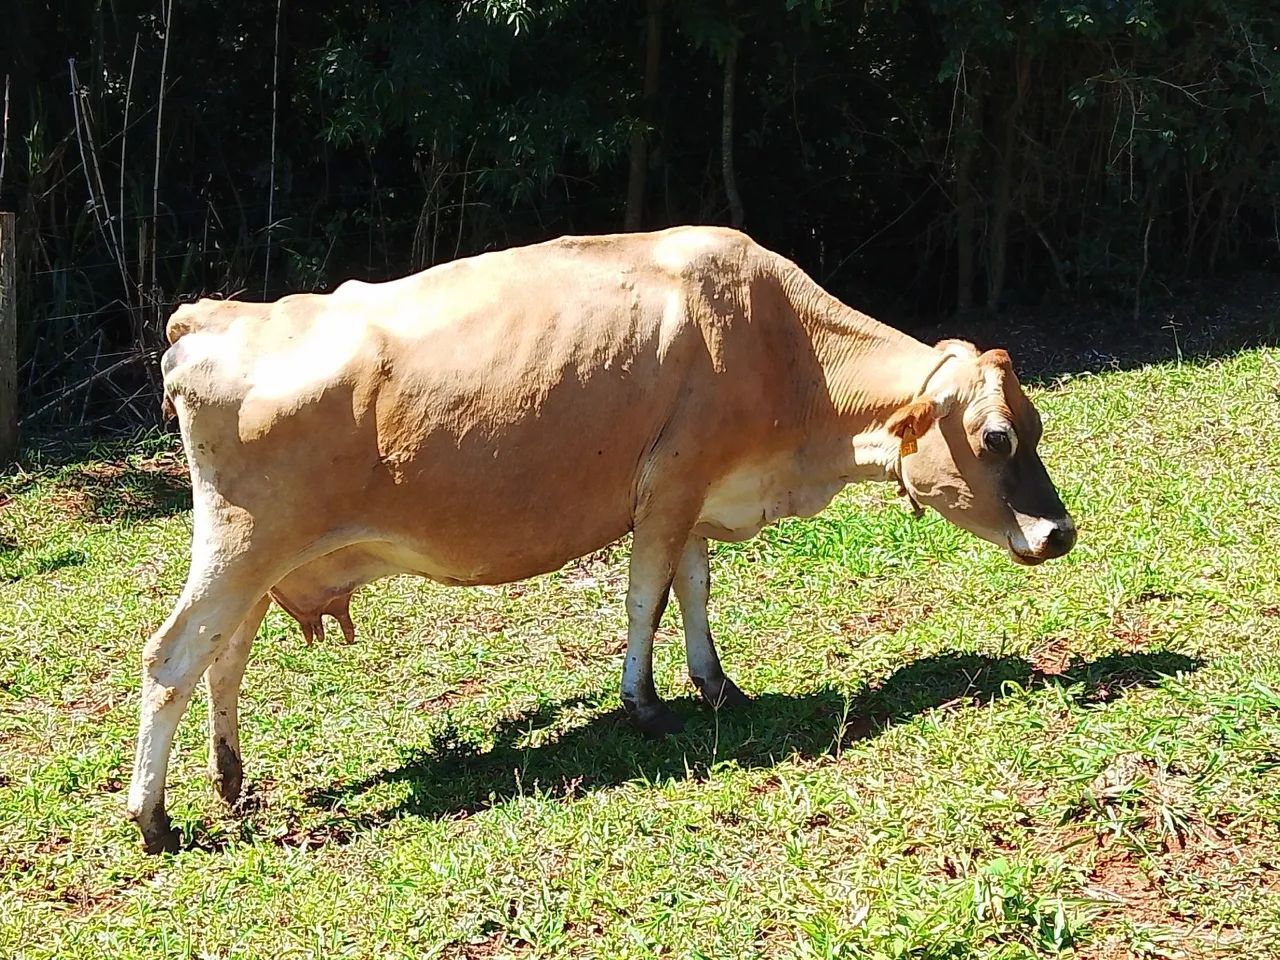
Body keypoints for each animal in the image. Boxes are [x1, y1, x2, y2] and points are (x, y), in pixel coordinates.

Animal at [127, 226, 1076, 853]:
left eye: (1034, 424)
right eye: (996, 437)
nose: (1060, 531)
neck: (789, 354)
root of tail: (212, 316)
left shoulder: (694, 498)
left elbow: (693, 591)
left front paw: (718, 684)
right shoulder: (670, 486)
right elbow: (645, 597)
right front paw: (645, 703)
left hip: (261, 559)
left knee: (224, 656)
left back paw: (229, 780)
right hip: (244, 543)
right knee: (171, 656)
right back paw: (154, 817)